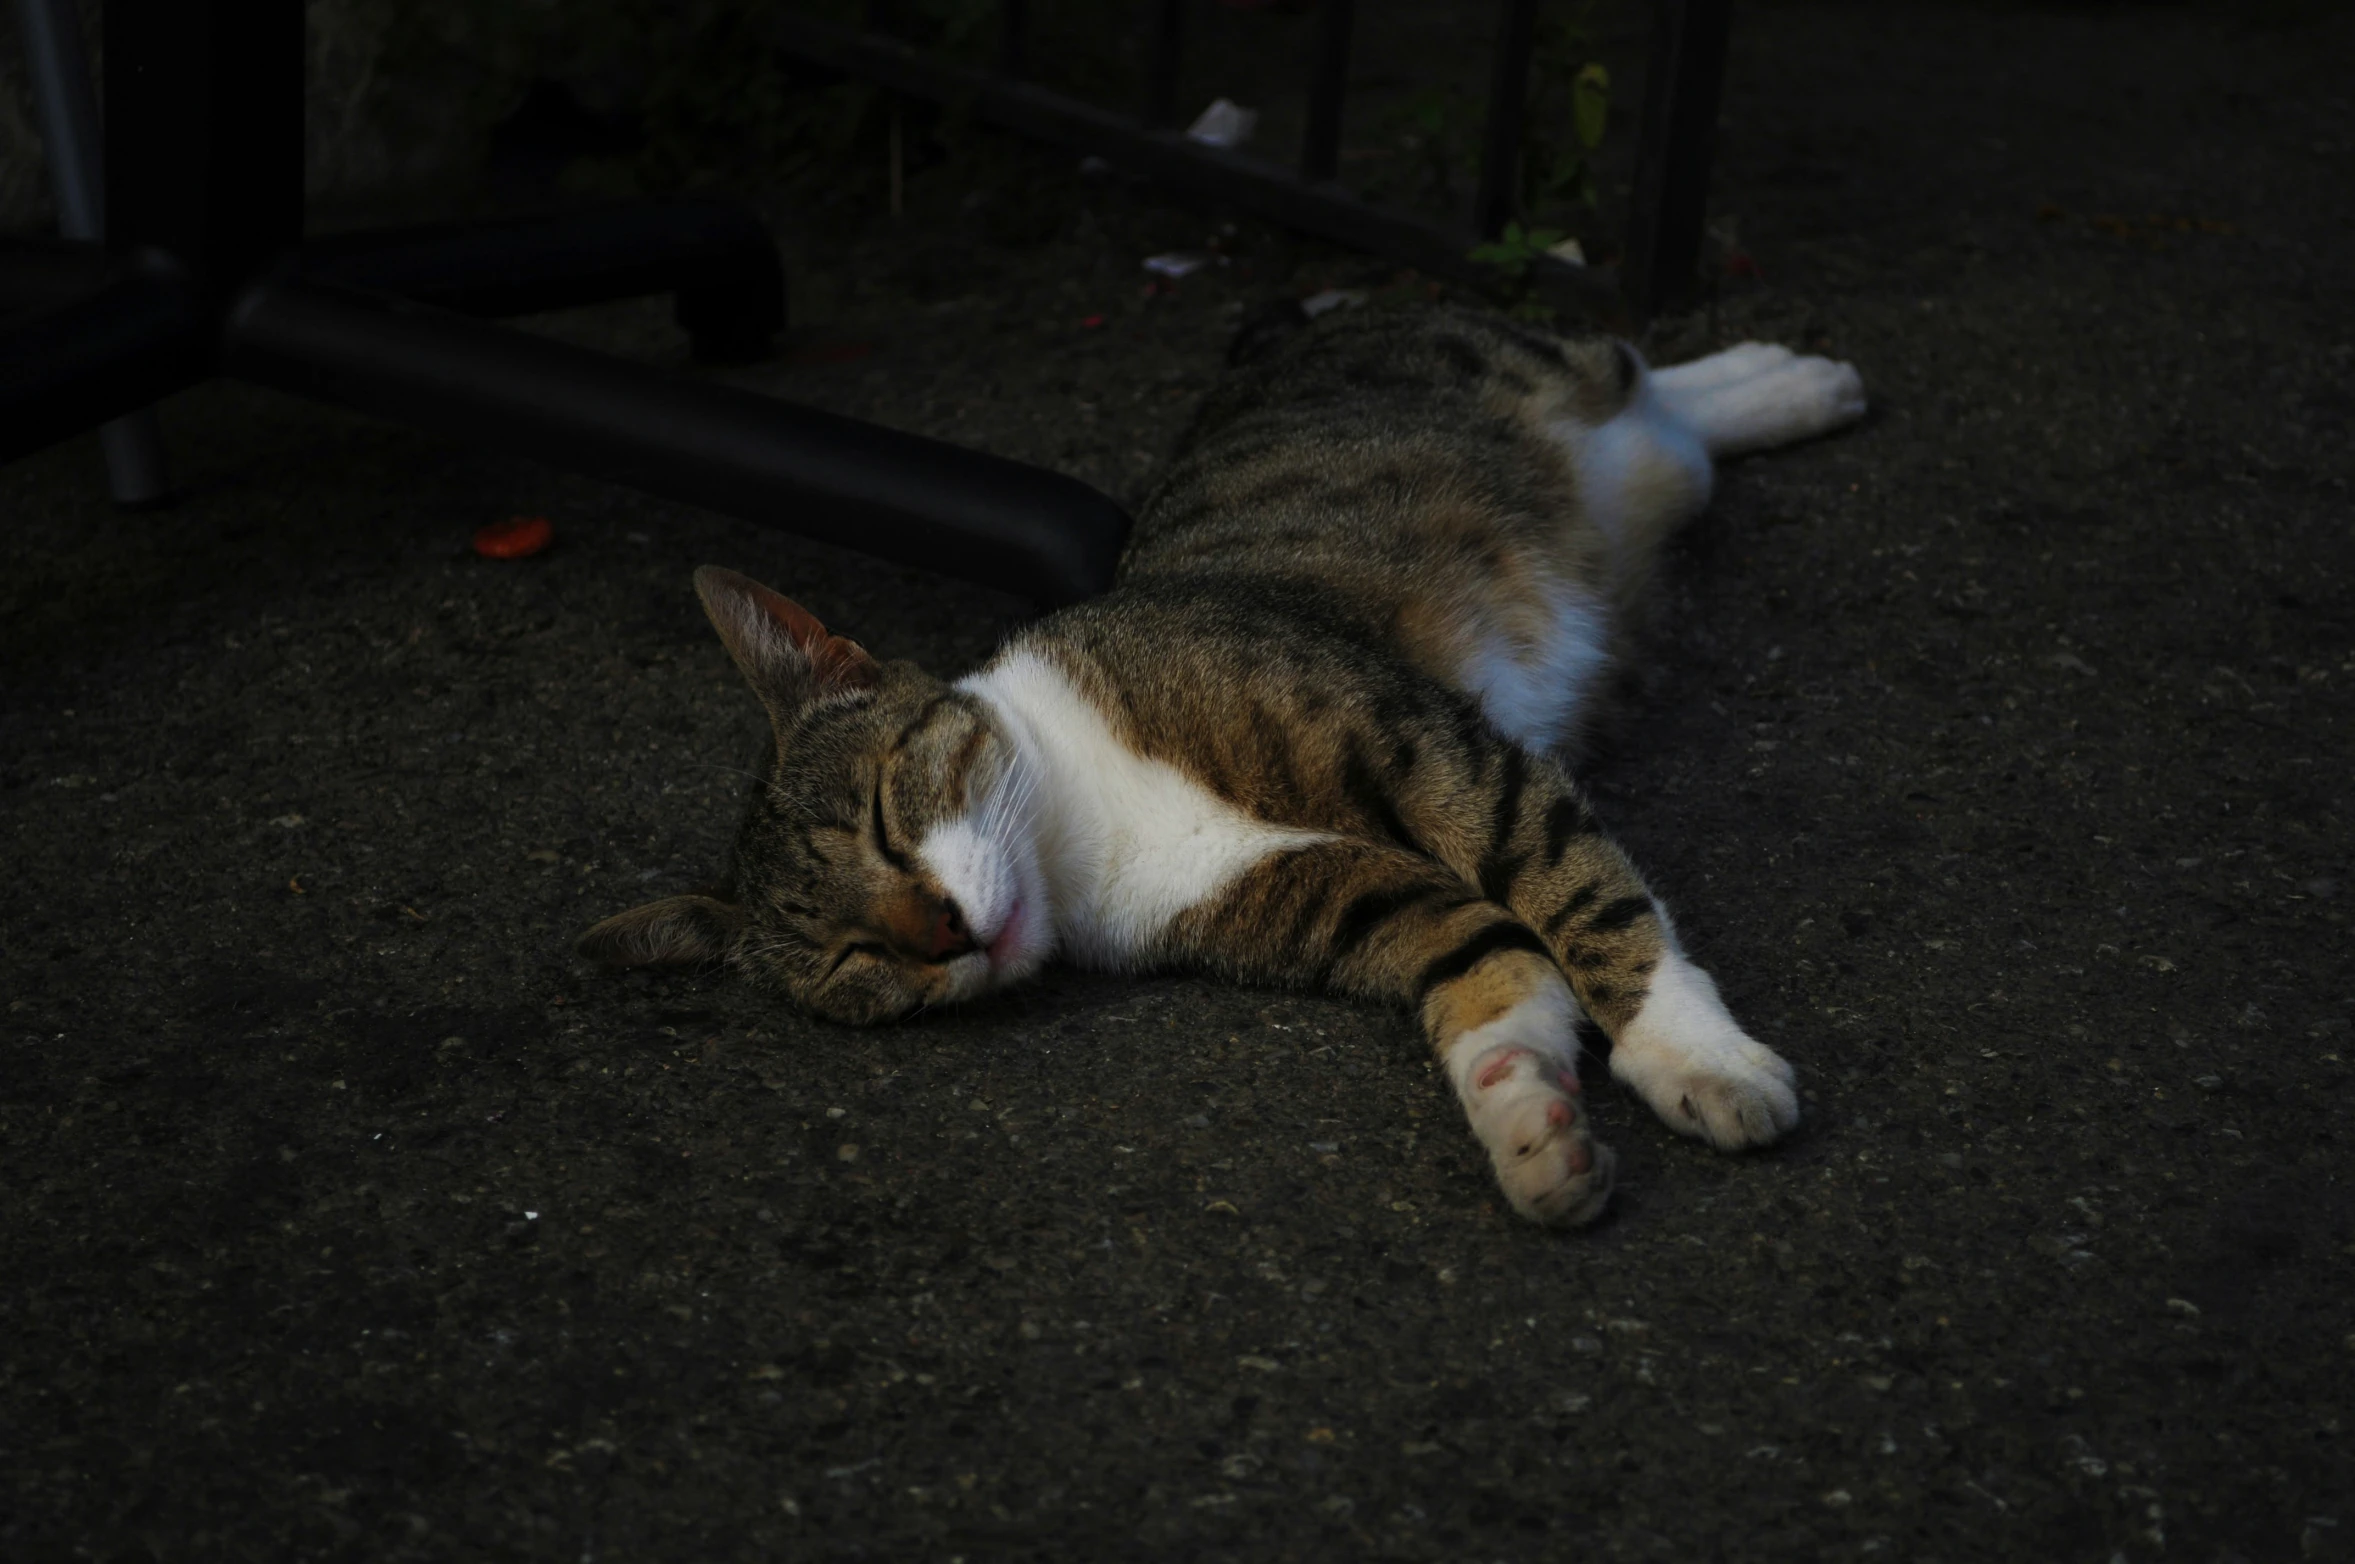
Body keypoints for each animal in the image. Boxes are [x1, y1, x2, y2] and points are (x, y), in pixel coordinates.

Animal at [579, 306, 1865, 1224]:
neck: (1084, 823)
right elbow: (1491, 962)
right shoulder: (1343, 894)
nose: (938, 932)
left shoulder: (1430, 747)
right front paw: (1529, 1127)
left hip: (1532, 372)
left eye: (889, 817)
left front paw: (1691, 1057)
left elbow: (1581, 893)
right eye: (855, 960)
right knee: (1675, 443)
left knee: (1633, 371)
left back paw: (1785, 377)